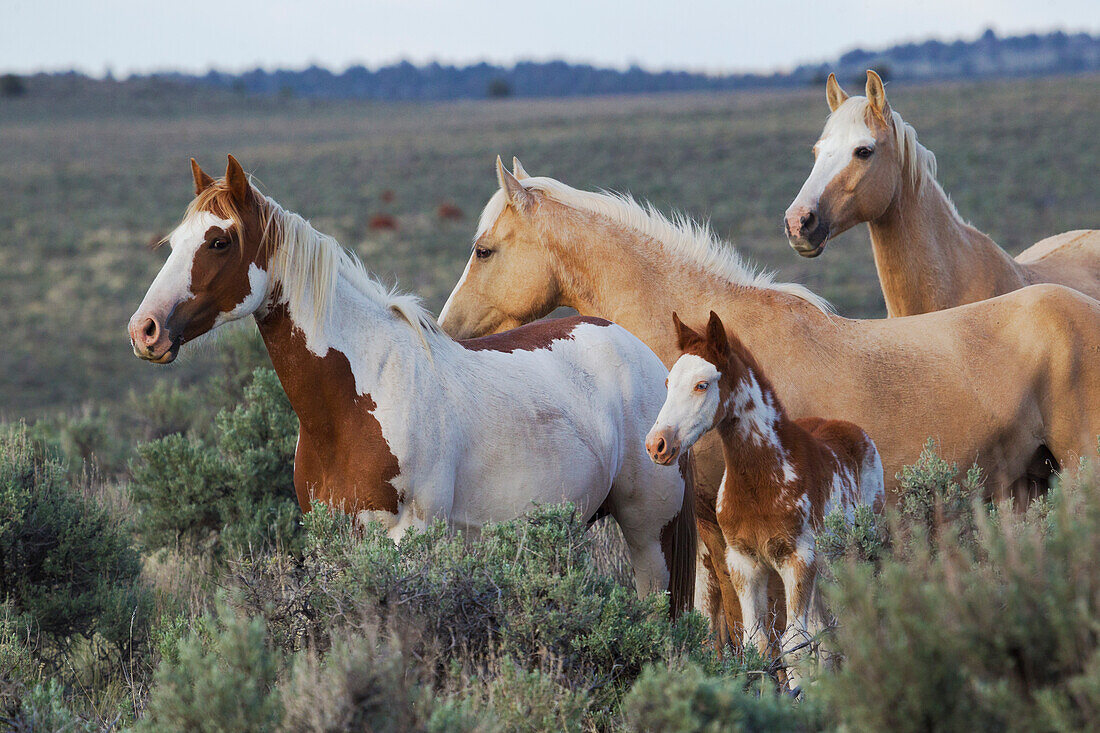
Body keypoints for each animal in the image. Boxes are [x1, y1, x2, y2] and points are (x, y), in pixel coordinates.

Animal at [128, 155, 695, 616]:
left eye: (219, 241)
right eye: (175, 243)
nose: (144, 331)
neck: (356, 399)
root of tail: (647, 356)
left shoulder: (408, 538)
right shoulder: (334, 543)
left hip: (649, 537)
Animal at [642, 310, 884, 682]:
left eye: (702, 384)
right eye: (669, 383)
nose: (657, 445)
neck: (761, 484)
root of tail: (854, 431)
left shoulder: (798, 560)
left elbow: (794, 644)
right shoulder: (745, 564)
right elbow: (757, 643)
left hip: (858, 553)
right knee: (825, 633)